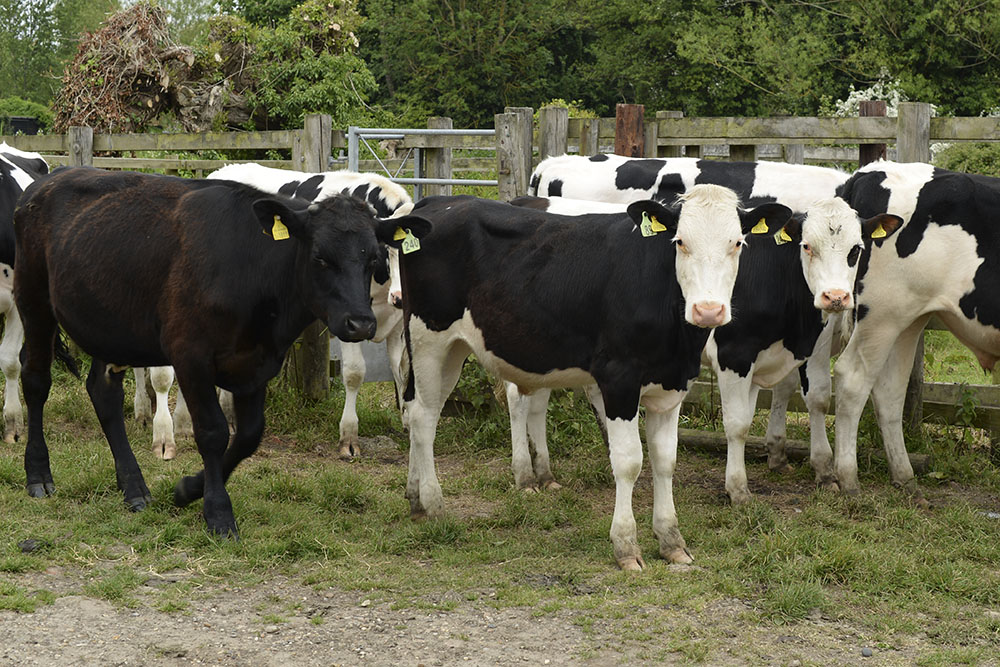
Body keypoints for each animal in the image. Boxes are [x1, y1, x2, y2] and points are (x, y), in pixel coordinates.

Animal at [135, 163, 415, 460]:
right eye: (388, 252)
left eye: (374, 255)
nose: (400, 297)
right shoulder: (347, 319)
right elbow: (354, 373)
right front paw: (349, 436)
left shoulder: (395, 322)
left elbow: (401, 369)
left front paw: (408, 422)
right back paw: (147, 415)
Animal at [399, 188, 792, 569]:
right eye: (680, 241)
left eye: (737, 243)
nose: (708, 311)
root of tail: (441, 201)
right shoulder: (619, 379)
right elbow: (629, 461)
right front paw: (625, 545)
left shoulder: (673, 385)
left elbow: (665, 460)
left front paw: (671, 540)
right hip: (427, 338)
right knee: (422, 417)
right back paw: (433, 503)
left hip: (451, 350)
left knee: (422, 410)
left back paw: (414, 497)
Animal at [831, 160, 1000, 496]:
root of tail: (872, 169)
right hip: (881, 314)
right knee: (853, 378)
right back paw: (848, 477)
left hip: (906, 320)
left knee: (889, 390)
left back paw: (904, 475)